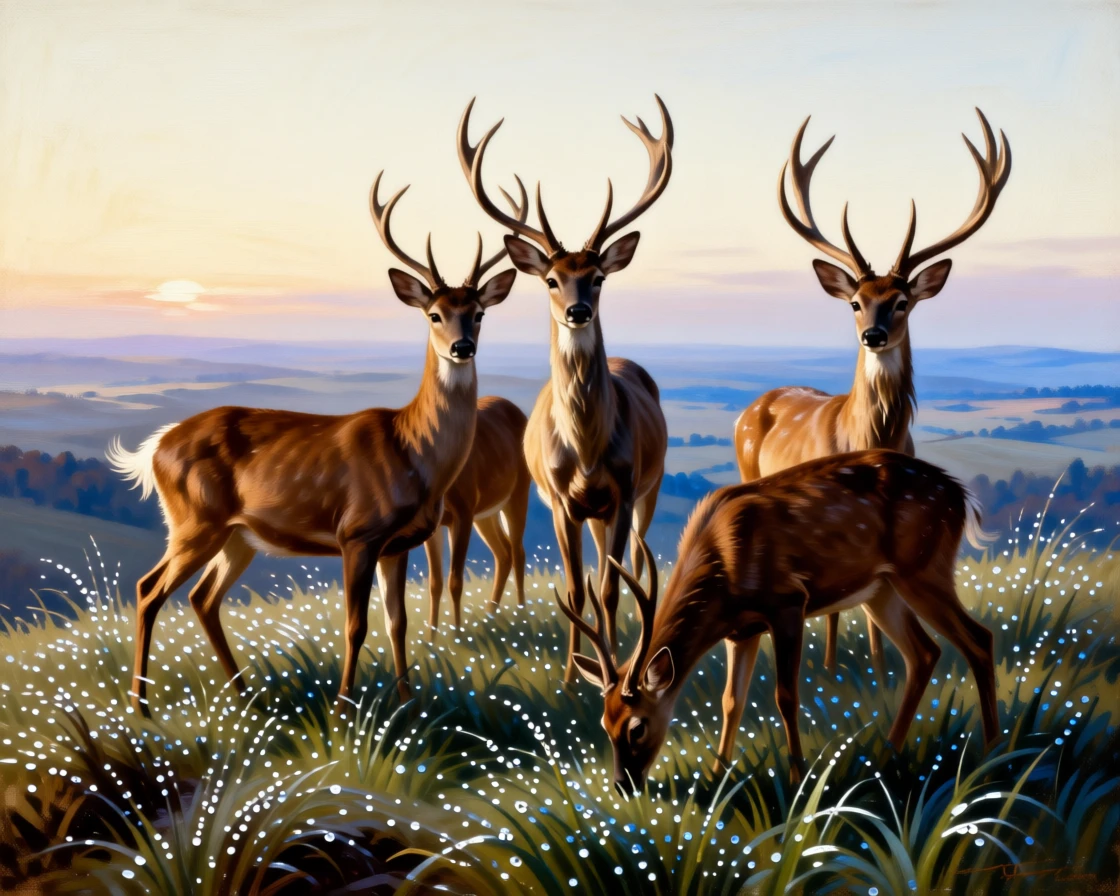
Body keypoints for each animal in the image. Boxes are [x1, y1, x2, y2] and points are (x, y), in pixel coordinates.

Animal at [423, 395, 530, 638]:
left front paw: (457, 634)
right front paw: (432, 639)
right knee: (504, 553)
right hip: (485, 514)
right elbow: (435, 583)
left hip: (517, 494)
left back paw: (521, 613)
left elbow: (455, 580)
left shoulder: (463, 512)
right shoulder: (435, 524)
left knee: (518, 551)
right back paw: (491, 615)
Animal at [457, 96, 671, 682]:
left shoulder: (623, 490)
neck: (587, 450)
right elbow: (577, 591)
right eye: (551, 279)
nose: (577, 310)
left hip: (647, 490)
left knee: (629, 568)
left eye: (598, 276)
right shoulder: (558, 500)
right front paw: (576, 674)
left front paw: (613, 668)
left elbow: (610, 589)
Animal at [561, 450, 999, 794]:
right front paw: (718, 776)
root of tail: (962, 497)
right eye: (604, 723)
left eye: (637, 727)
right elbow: (731, 701)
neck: (721, 566)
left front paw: (797, 780)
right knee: (925, 653)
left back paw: (993, 753)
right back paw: (887, 758)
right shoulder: (740, 631)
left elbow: (785, 696)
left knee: (979, 638)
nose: (623, 785)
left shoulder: (788, 601)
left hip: (923, 568)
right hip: (882, 590)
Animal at [734, 109, 1011, 675]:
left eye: (902, 301)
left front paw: (881, 671)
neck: (866, 435)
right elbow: (843, 605)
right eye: (855, 302)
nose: (874, 335)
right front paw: (837, 668)